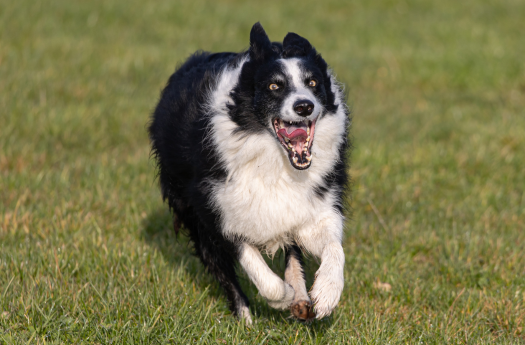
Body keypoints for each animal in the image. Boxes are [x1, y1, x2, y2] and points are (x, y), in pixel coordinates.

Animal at [147, 22, 350, 322]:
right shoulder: (217, 211)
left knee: (292, 249)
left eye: (313, 83)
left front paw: (326, 293)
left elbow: (334, 247)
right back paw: (246, 315)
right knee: (218, 265)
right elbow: (259, 272)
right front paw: (282, 298)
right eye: (274, 86)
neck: (274, 161)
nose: (304, 106)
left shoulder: (313, 203)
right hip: (189, 206)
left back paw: (301, 295)